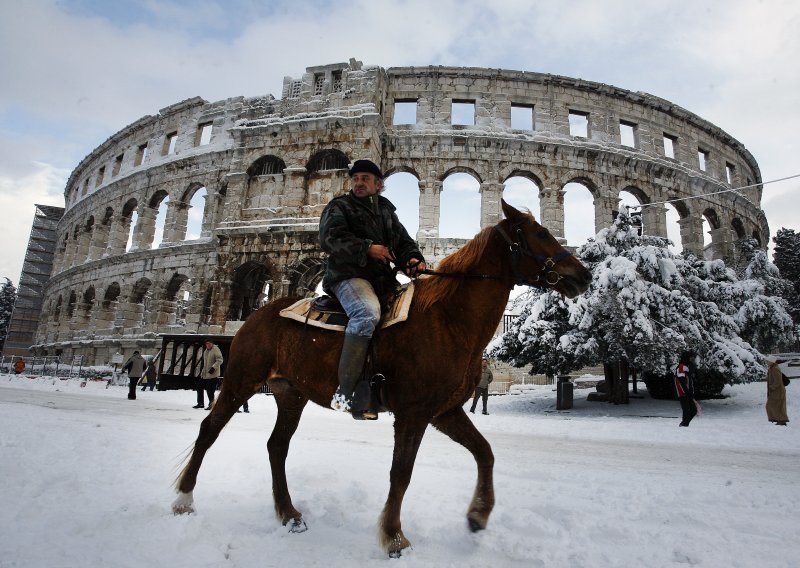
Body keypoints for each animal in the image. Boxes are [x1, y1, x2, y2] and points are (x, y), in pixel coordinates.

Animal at [172, 200, 592, 556]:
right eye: (540, 233)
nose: (583, 275)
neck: (448, 320)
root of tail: (255, 314)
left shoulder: (445, 412)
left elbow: (484, 452)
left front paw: (477, 516)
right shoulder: (413, 414)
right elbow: (401, 473)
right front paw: (393, 537)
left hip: (291, 394)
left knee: (277, 446)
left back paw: (289, 514)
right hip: (240, 380)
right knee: (210, 429)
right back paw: (183, 500)